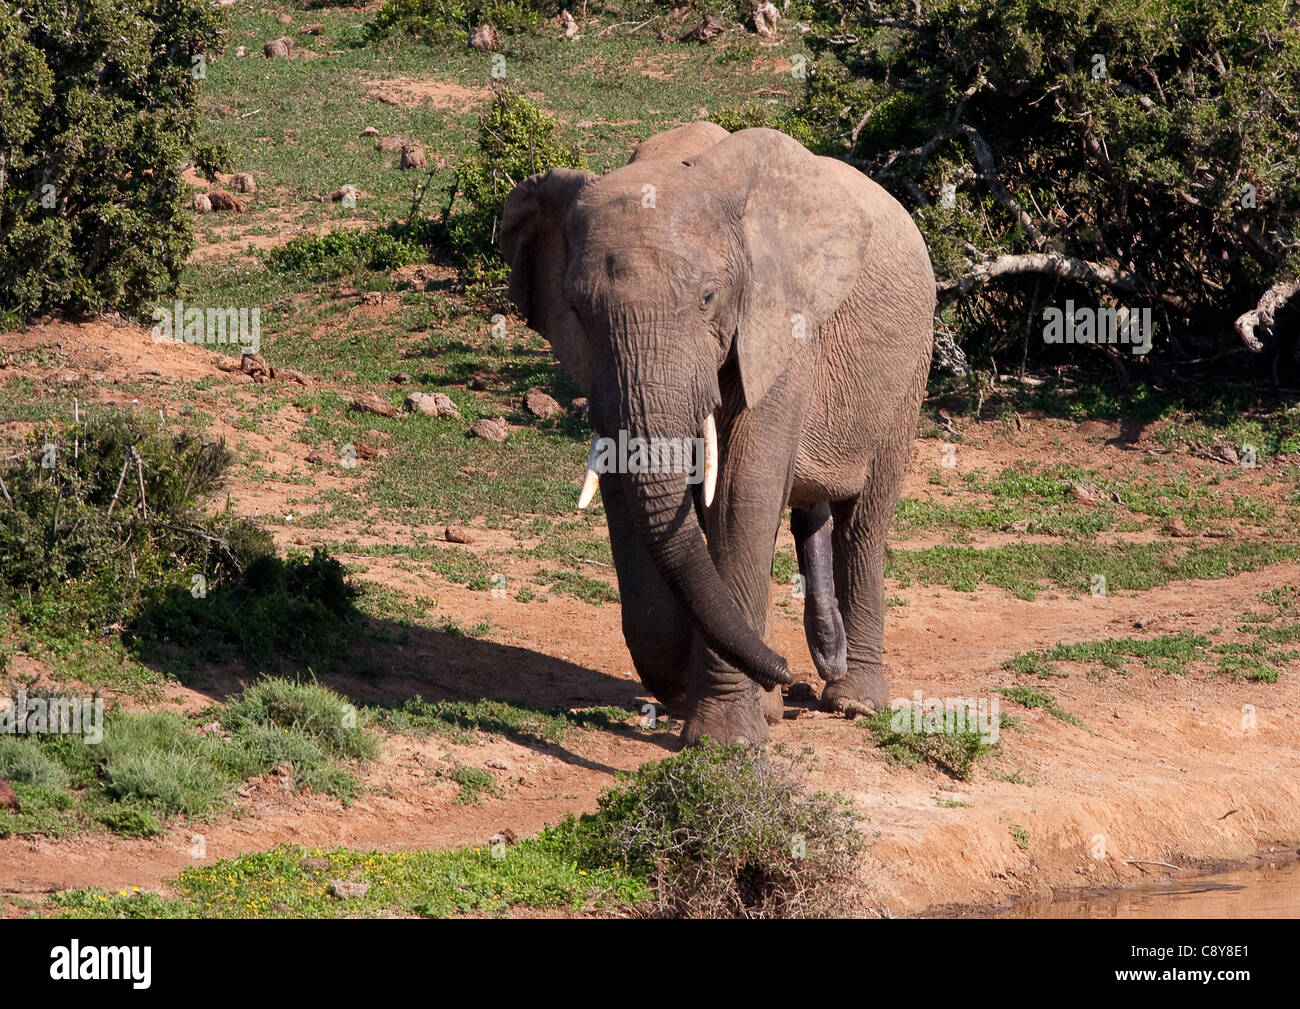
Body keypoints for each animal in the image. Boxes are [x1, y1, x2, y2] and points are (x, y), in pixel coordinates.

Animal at [496, 122, 935, 743]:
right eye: (577, 309)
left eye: (708, 298)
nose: (787, 674)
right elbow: (628, 489)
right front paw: (701, 692)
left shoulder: (779, 326)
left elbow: (741, 493)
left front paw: (727, 739)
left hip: (908, 372)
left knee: (865, 521)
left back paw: (856, 702)